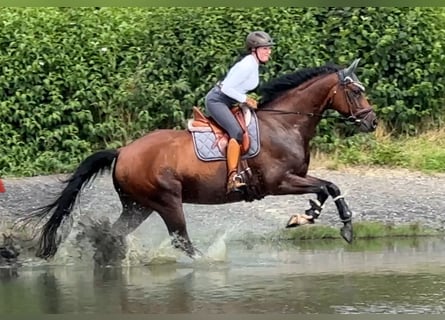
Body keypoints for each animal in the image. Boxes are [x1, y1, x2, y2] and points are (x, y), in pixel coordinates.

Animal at [24, 58, 376, 260]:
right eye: (356, 92)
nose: (372, 122)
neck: (285, 124)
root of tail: (122, 151)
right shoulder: (280, 182)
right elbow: (327, 186)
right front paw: (325, 222)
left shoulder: (295, 179)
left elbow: (326, 188)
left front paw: (310, 218)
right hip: (166, 201)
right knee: (180, 240)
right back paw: (207, 264)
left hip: (138, 205)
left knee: (116, 232)